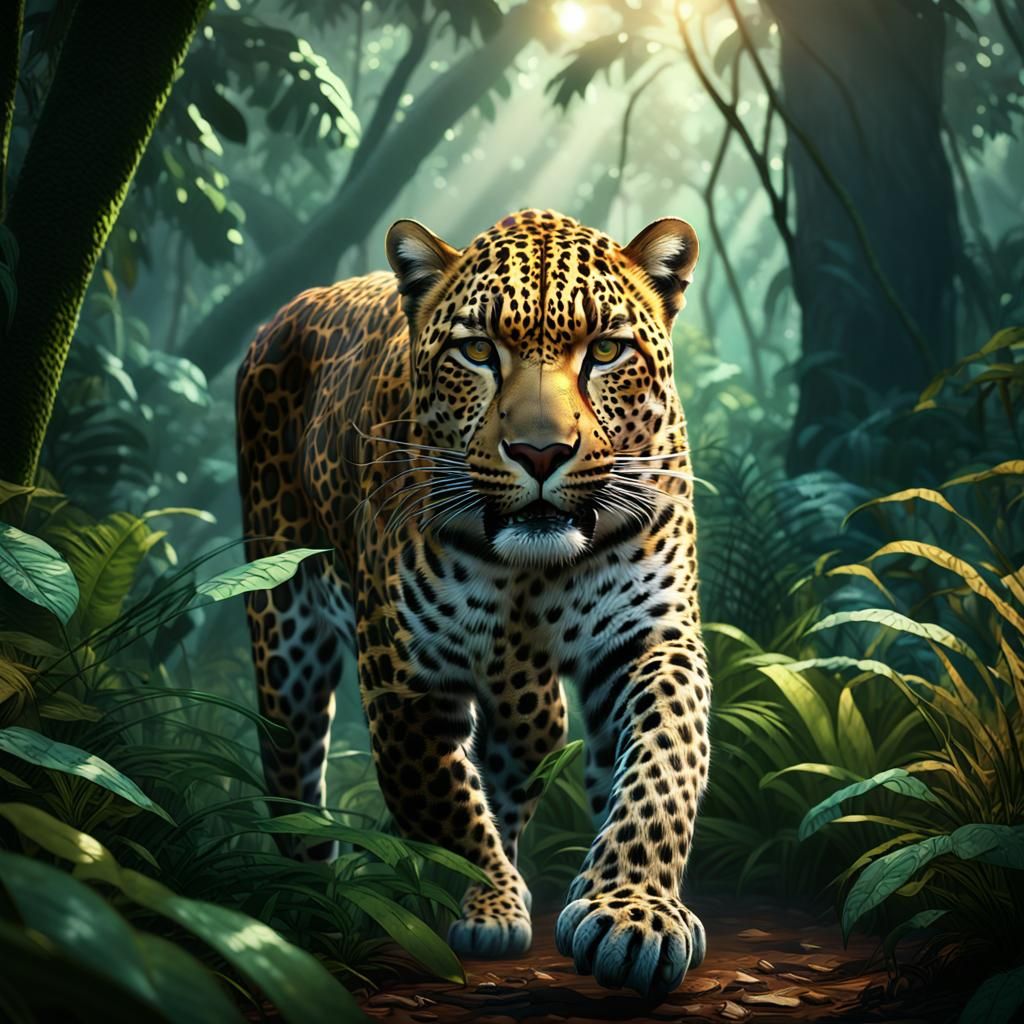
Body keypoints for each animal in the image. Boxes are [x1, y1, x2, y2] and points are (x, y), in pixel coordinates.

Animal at [236, 208, 711, 996]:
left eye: (606, 350)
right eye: (479, 351)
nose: (540, 452)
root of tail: (287, 311)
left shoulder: (649, 635)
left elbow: (666, 759)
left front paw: (631, 913)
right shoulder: (405, 673)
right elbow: (443, 800)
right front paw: (487, 903)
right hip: (285, 633)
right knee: (291, 768)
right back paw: (304, 900)